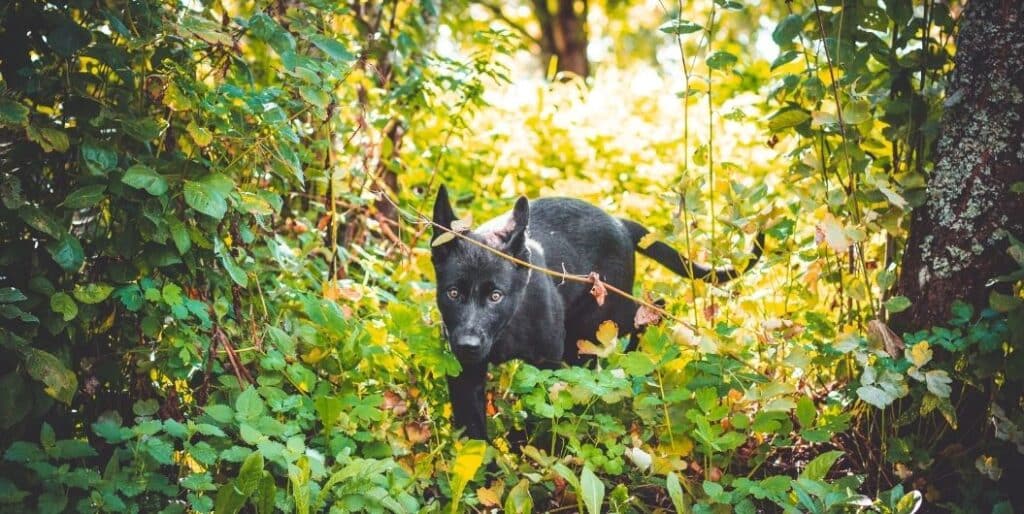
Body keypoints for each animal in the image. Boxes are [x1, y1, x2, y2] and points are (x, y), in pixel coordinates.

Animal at [428, 186, 765, 440]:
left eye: (496, 296)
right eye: (453, 293)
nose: (468, 344)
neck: (504, 330)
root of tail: (620, 222)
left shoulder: (547, 363)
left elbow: (548, 407)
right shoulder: (465, 373)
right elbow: (473, 430)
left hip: (600, 320)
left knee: (651, 310)